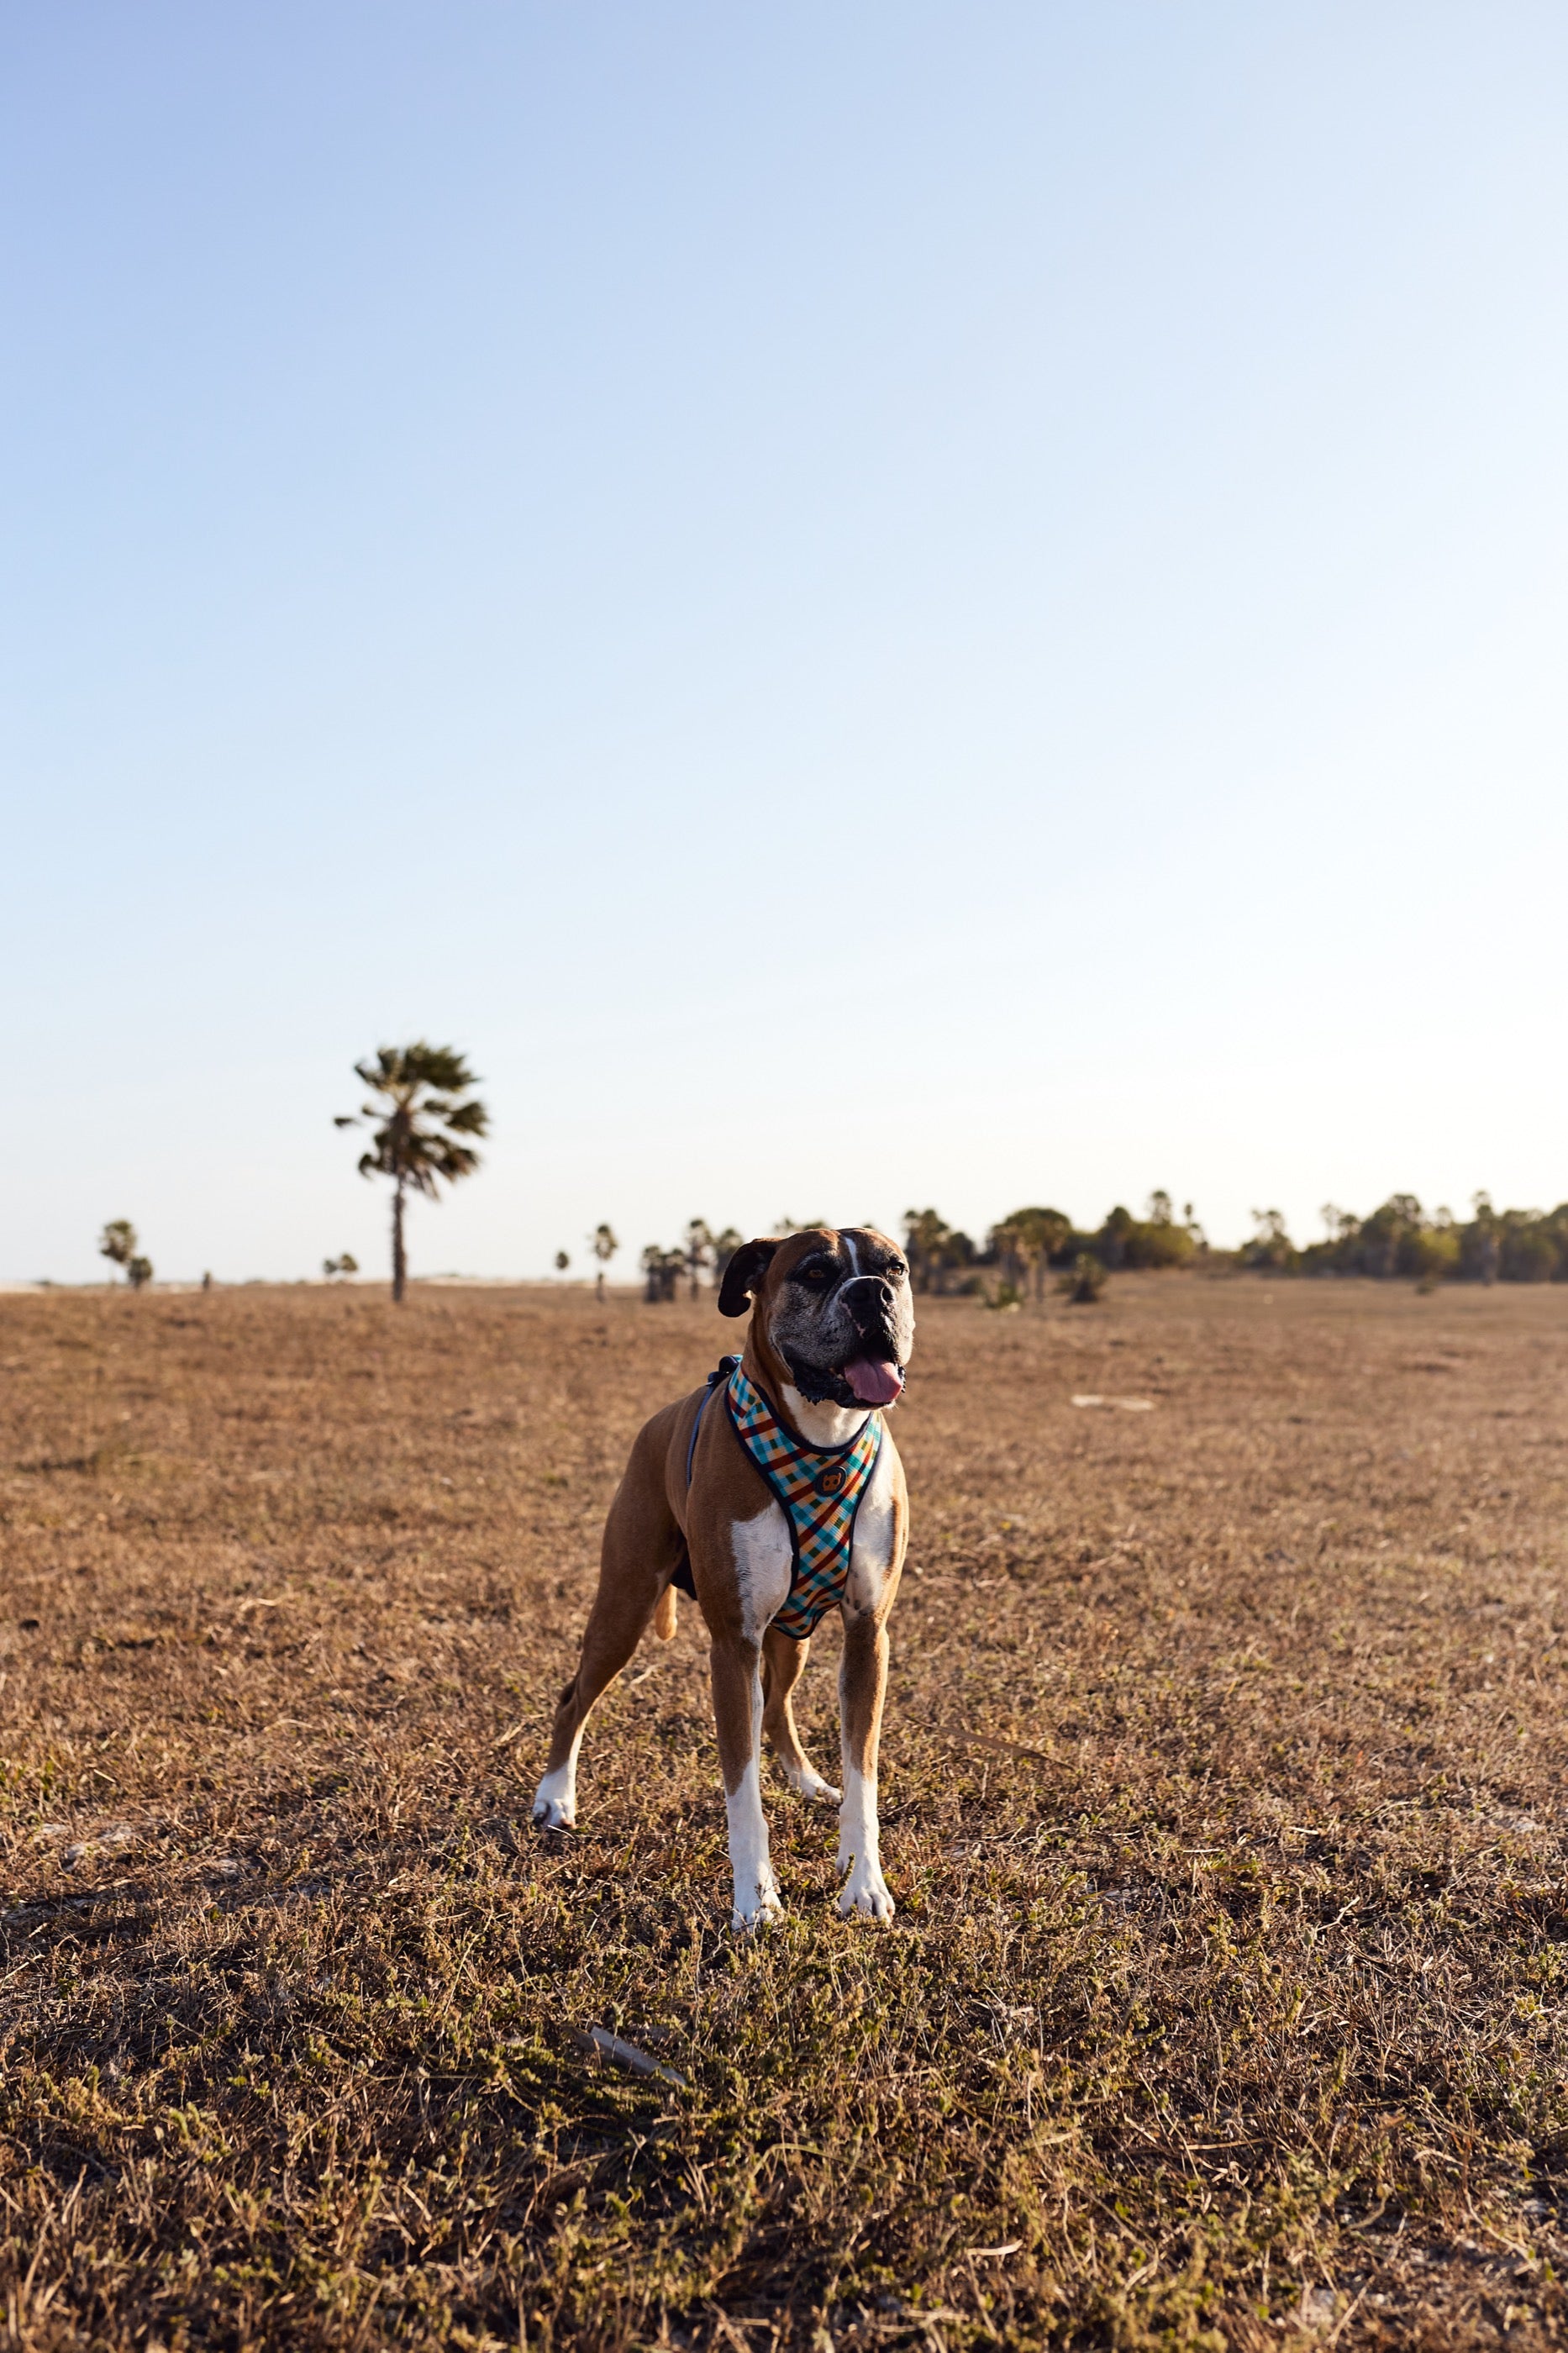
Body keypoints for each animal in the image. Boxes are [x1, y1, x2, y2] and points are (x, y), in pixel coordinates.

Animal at [532, 1233, 908, 1929]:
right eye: (815, 1273)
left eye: (893, 1267)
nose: (872, 1293)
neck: (820, 1439)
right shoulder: (732, 1645)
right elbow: (741, 1789)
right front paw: (756, 1900)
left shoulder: (868, 1634)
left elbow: (863, 1771)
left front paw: (863, 1880)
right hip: (624, 1607)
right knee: (574, 1698)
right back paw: (554, 1799)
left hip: (791, 1637)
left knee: (778, 1706)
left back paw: (807, 1781)